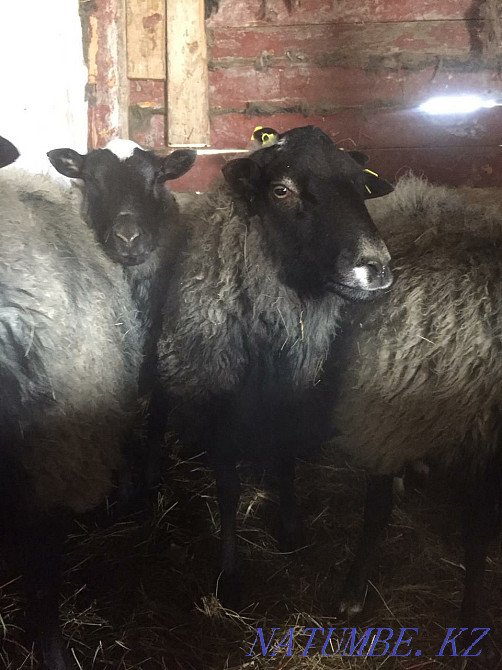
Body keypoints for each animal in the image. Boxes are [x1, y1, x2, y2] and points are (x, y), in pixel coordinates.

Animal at [156, 125, 395, 607]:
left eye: (361, 185)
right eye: (281, 190)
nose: (376, 267)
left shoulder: (291, 397)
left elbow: (285, 460)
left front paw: (290, 526)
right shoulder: (218, 402)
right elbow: (228, 489)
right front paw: (229, 572)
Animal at [333, 174, 502, 633]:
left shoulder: (484, 445)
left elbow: (478, 534)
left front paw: (471, 614)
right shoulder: (383, 419)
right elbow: (376, 512)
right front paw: (353, 594)